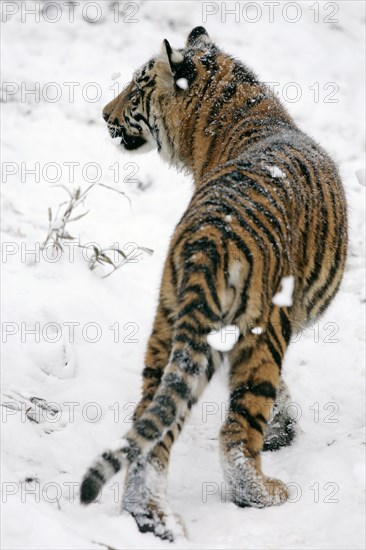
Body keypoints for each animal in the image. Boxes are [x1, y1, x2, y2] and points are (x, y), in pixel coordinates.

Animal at [79, 27, 346, 544]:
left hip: (171, 326)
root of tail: (209, 236)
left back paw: (150, 517)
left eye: (134, 90)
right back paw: (266, 493)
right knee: (237, 437)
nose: (103, 114)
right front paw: (285, 431)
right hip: (262, 331)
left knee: (150, 430)